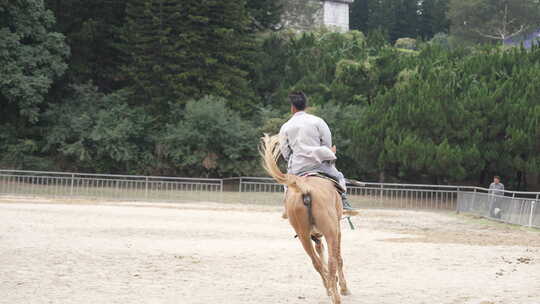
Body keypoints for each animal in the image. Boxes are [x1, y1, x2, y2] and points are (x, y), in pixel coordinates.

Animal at [260, 135, 350, 304]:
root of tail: (305, 188)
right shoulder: (337, 231)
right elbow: (338, 258)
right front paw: (343, 287)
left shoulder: (316, 236)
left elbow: (320, 253)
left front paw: (330, 283)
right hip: (330, 232)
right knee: (333, 261)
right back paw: (336, 295)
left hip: (303, 236)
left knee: (316, 263)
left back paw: (329, 287)